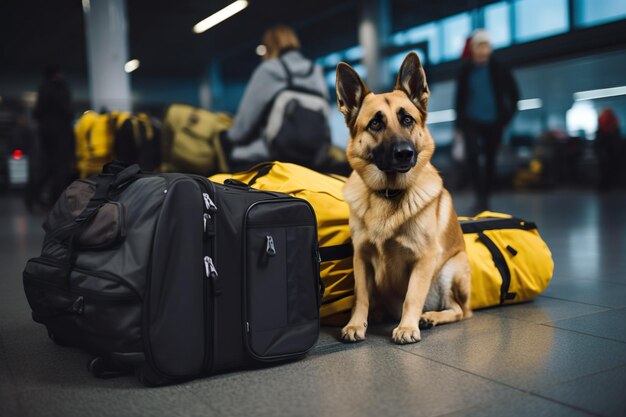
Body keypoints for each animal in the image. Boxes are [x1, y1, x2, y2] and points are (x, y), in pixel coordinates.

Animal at [334, 52, 470, 344]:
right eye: (375, 123)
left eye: (407, 119)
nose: (405, 153)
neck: (388, 193)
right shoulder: (361, 257)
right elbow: (361, 297)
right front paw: (355, 324)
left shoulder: (424, 258)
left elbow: (412, 297)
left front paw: (407, 327)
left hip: (450, 270)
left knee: (460, 311)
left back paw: (431, 317)